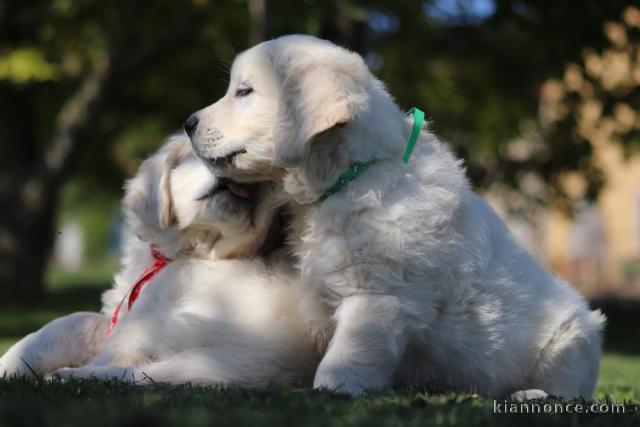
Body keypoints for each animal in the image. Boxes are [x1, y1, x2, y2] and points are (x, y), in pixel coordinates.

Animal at [184, 35, 604, 400]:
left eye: (244, 92)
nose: (188, 123)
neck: (350, 175)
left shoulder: (375, 298)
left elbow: (345, 359)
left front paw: (331, 392)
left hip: (574, 337)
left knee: (569, 390)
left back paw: (530, 394)